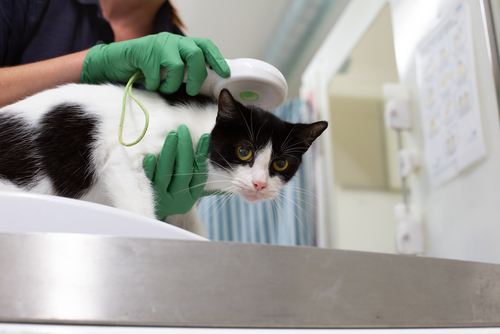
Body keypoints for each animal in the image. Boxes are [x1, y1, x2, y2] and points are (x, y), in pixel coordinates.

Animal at [0, 83, 328, 235]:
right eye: (244, 151)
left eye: (280, 164)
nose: (260, 184)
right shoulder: (124, 156)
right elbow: (138, 206)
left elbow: (186, 219)